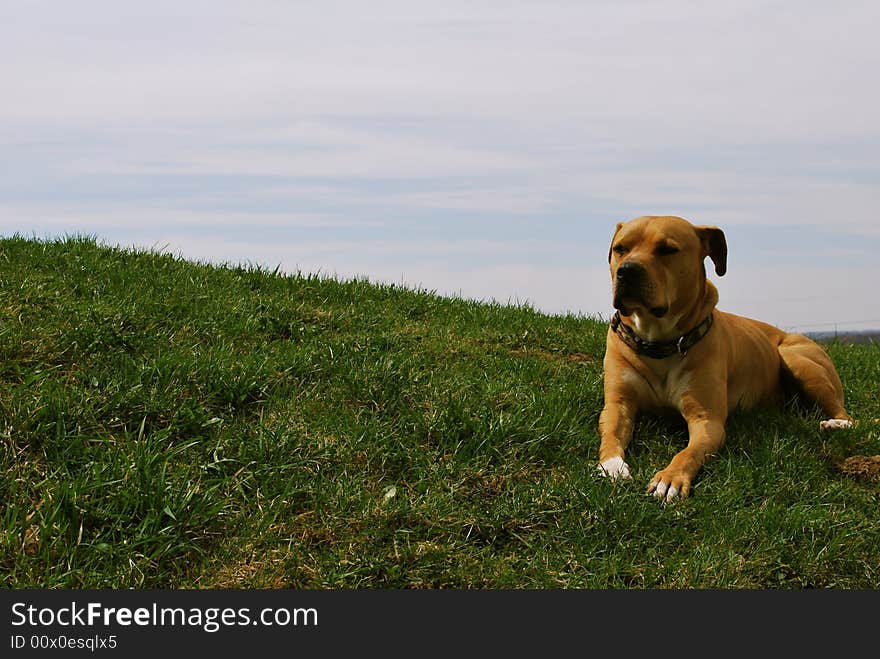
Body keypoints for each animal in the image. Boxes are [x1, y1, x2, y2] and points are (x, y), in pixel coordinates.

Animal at [600, 214, 852, 502]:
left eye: (667, 249)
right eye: (620, 248)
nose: (628, 270)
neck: (659, 342)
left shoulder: (707, 420)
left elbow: (689, 452)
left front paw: (670, 478)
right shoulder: (618, 404)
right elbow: (611, 432)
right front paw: (612, 466)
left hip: (797, 359)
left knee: (845, 413)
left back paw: (836, 424)